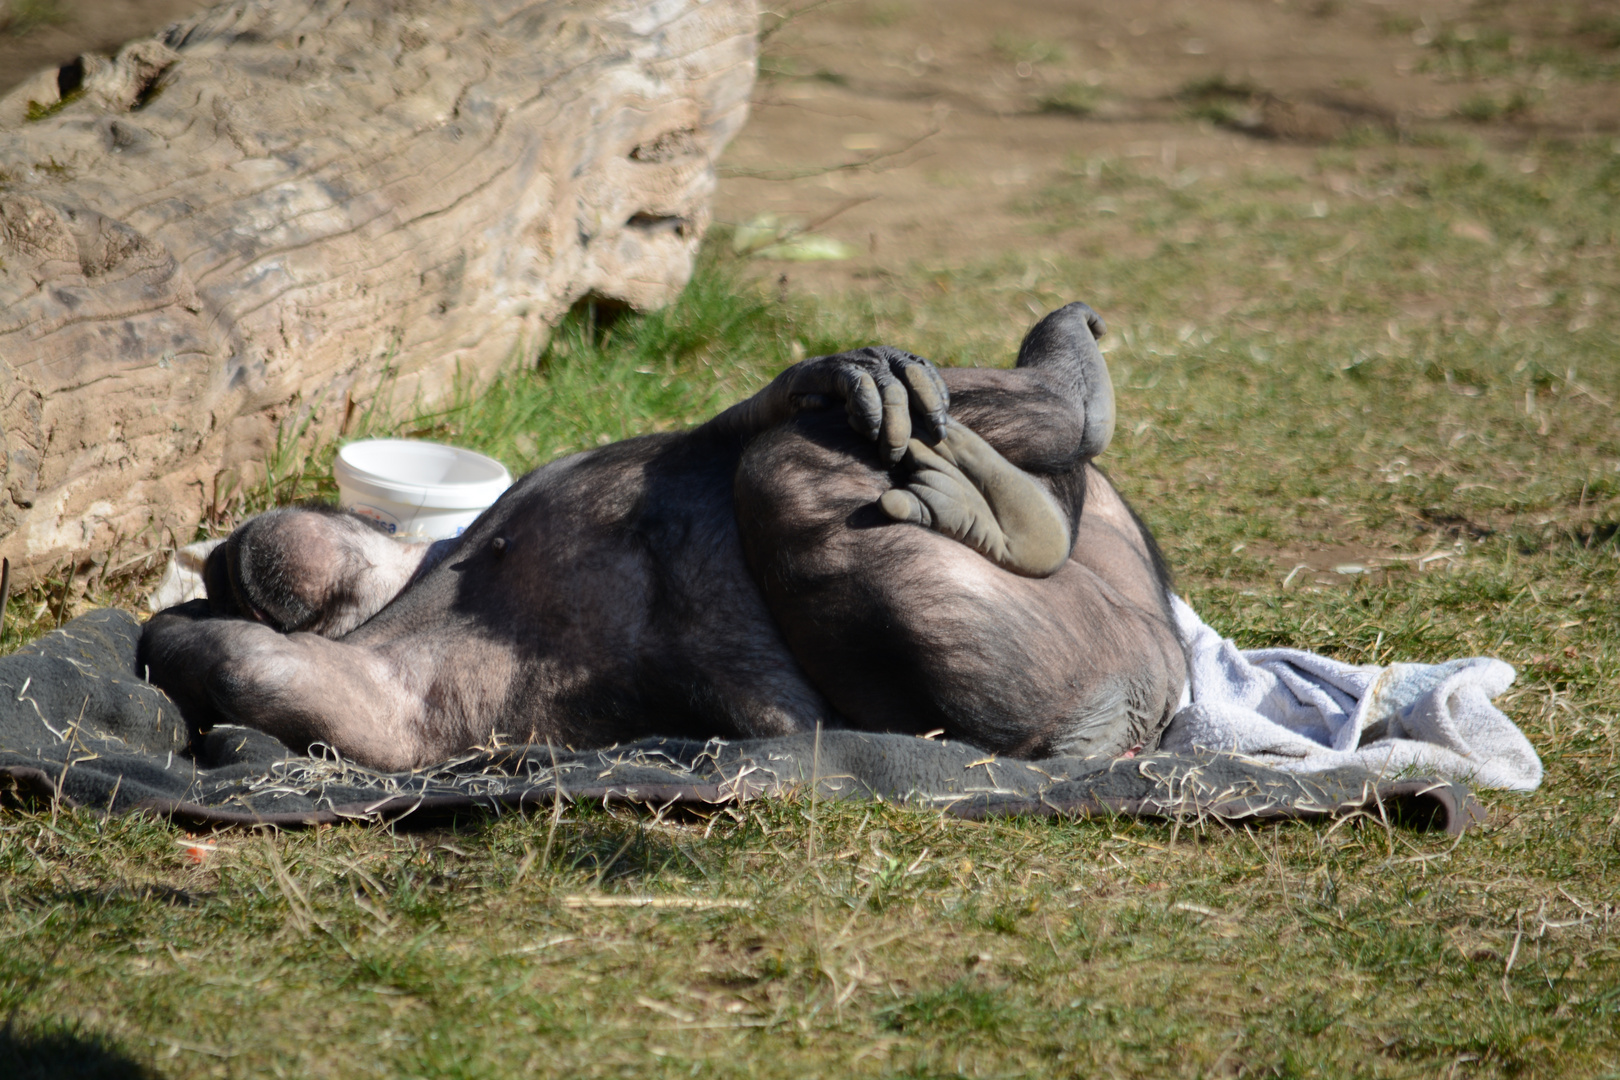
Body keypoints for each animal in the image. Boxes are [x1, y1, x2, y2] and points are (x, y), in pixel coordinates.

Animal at [139, 304, 1192, 773]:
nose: (226, 570)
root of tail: (1155, 698)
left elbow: (707, 434)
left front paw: (824, 371)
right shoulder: (371, 687)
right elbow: (243, 667)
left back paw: (1048, 398)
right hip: (1035, 661)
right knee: (790, 470)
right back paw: (1042, 452)